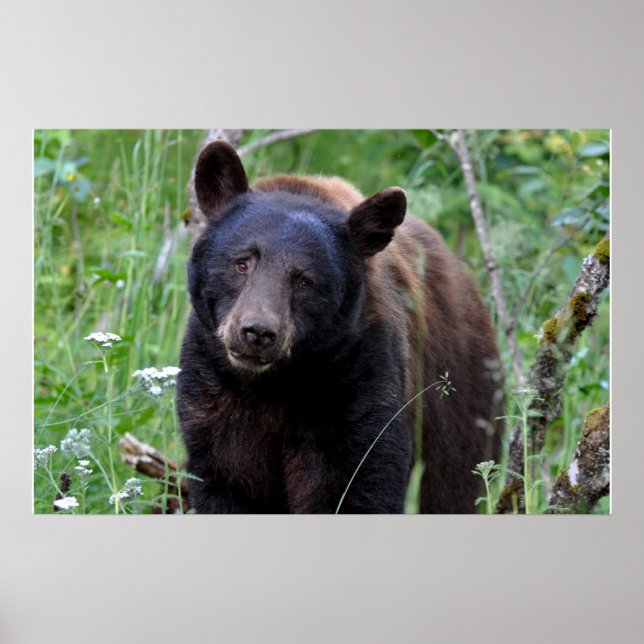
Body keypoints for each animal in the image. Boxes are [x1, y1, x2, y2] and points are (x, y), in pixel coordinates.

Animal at [176, 139, 503, 513]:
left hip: (460, 416)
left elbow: (355, 484)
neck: (275, 384)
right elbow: (228, 482)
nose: (257, 332)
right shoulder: (212, 394)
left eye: (304, 281)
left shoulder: (356, 380)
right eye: (242, 263)